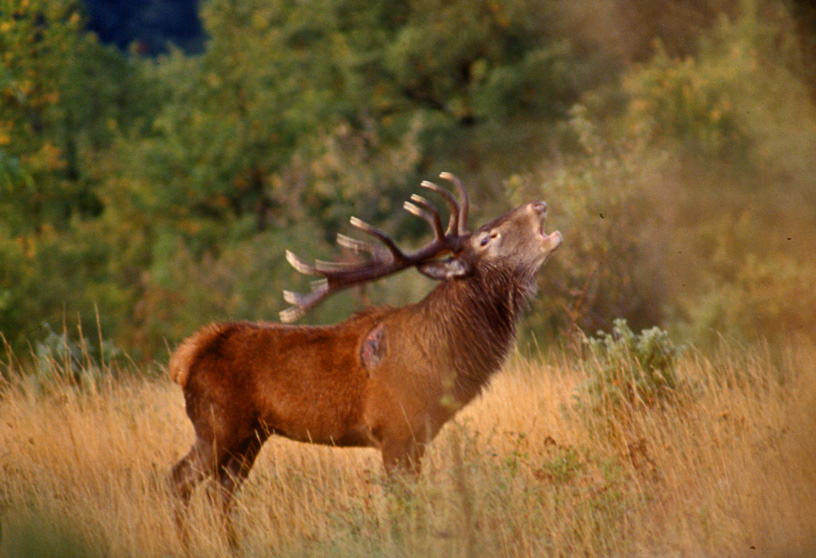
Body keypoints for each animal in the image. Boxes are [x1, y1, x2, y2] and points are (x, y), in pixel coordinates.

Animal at [168, 172, 562, 518]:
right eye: (486, 239)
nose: (539, 204)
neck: (444, 362)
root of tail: (186, 358)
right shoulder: (397, 430)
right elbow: (402, 503)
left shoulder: (420, 436)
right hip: (217, 424)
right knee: (179, 479)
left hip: (251, 435)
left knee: (221, 492)